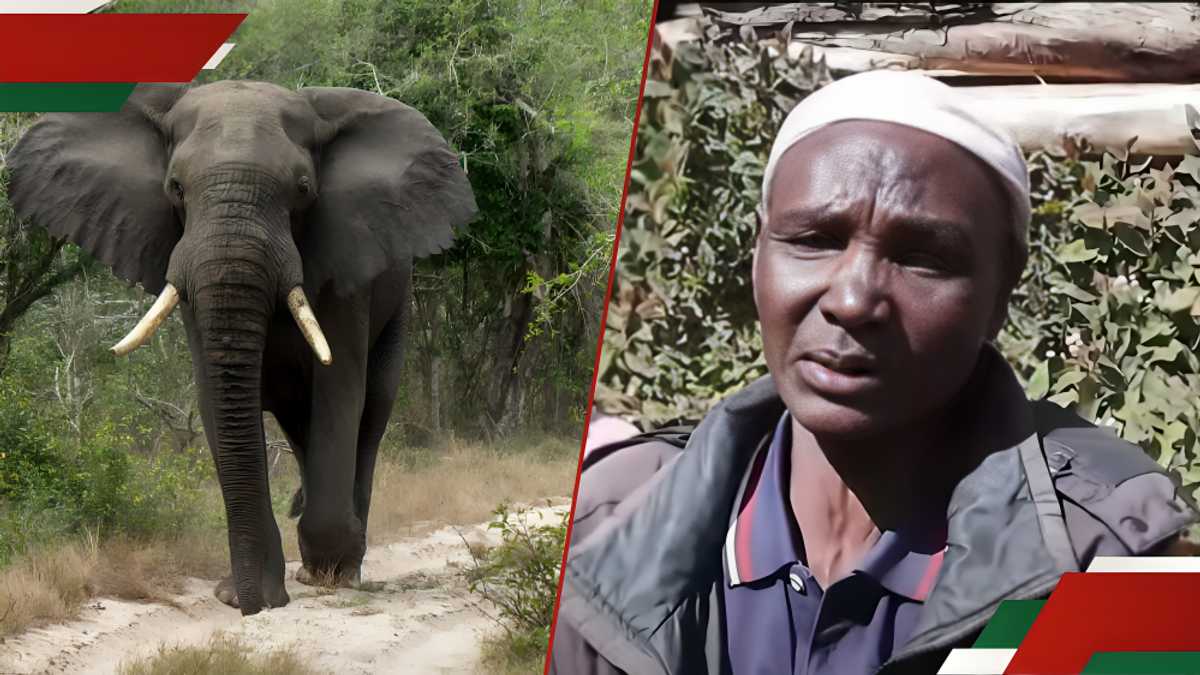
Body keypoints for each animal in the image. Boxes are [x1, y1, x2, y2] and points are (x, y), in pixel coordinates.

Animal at [5, 81, 477, 615]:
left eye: (303, 189)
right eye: (176, 188)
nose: (255, 606)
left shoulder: (346, 266)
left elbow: (339, 389)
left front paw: (325, 572)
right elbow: (216, 394)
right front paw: (242, 594)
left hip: (397, 304)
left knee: (370, 415)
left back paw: (342, 570)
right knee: (300, 428)